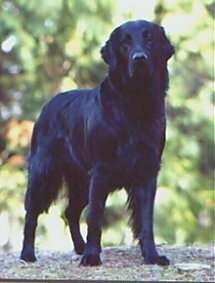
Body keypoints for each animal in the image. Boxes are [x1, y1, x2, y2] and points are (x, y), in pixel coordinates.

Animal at [20, 20, 175, 266]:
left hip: (82, 181)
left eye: (149, 39)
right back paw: (28, 254)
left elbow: (146, 221)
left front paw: (152, 256)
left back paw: (80, 247)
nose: (139, 59)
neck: (134, 104)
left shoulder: (147, 171)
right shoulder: (101, 171)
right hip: (44, 173)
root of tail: (47, 105)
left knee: (70, 212)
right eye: (124, 43)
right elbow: (95, 218)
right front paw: (92, 256)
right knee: (32, 213)